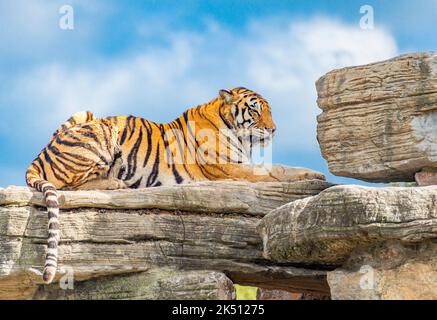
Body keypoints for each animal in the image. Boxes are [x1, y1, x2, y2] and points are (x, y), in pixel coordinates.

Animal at [24, 87, 324, 282]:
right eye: (254, 110)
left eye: (270, 112)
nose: (273, 129)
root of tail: (38, 157)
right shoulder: (232, 168)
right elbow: (274, 172)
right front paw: (309, 176)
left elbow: (280, 167)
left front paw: (314, 174)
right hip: (101, 132)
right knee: (68, 187)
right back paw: (115, 185)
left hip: (84, 113)